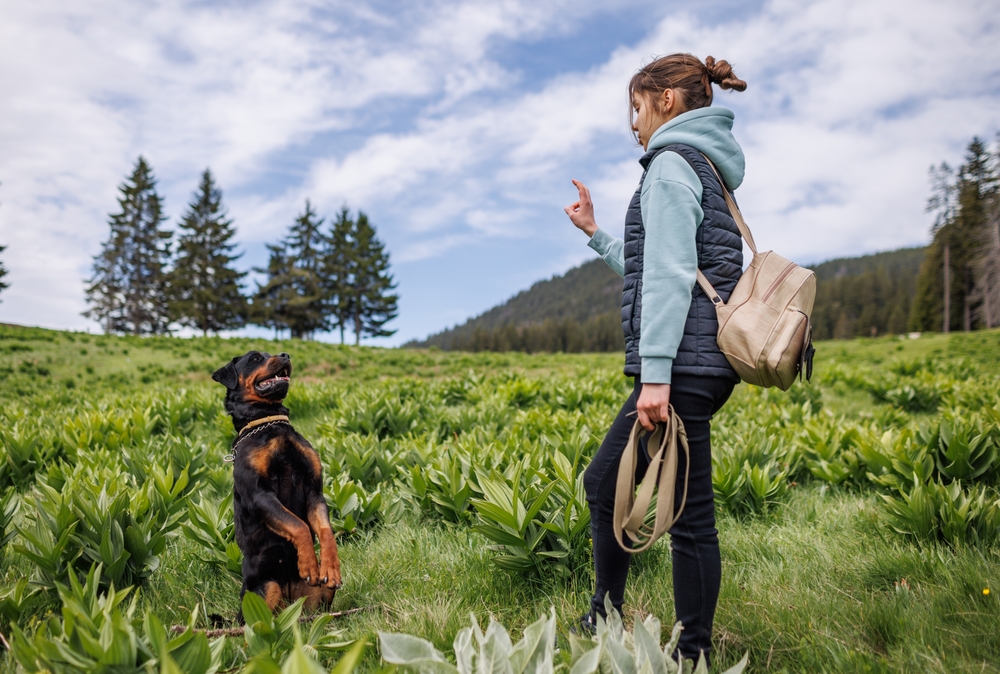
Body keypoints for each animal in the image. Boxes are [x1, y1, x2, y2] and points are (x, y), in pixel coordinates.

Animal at [210, 352, 340, 616]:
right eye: (255, 358)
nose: (285, 355)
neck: (269, 421)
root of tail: (291, 603)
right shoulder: (259, 495)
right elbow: (298, 525)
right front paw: (309, 564)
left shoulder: (314, 491)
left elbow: (325, 530)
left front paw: (329, 567)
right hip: (264, 589)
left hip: (316, 600)